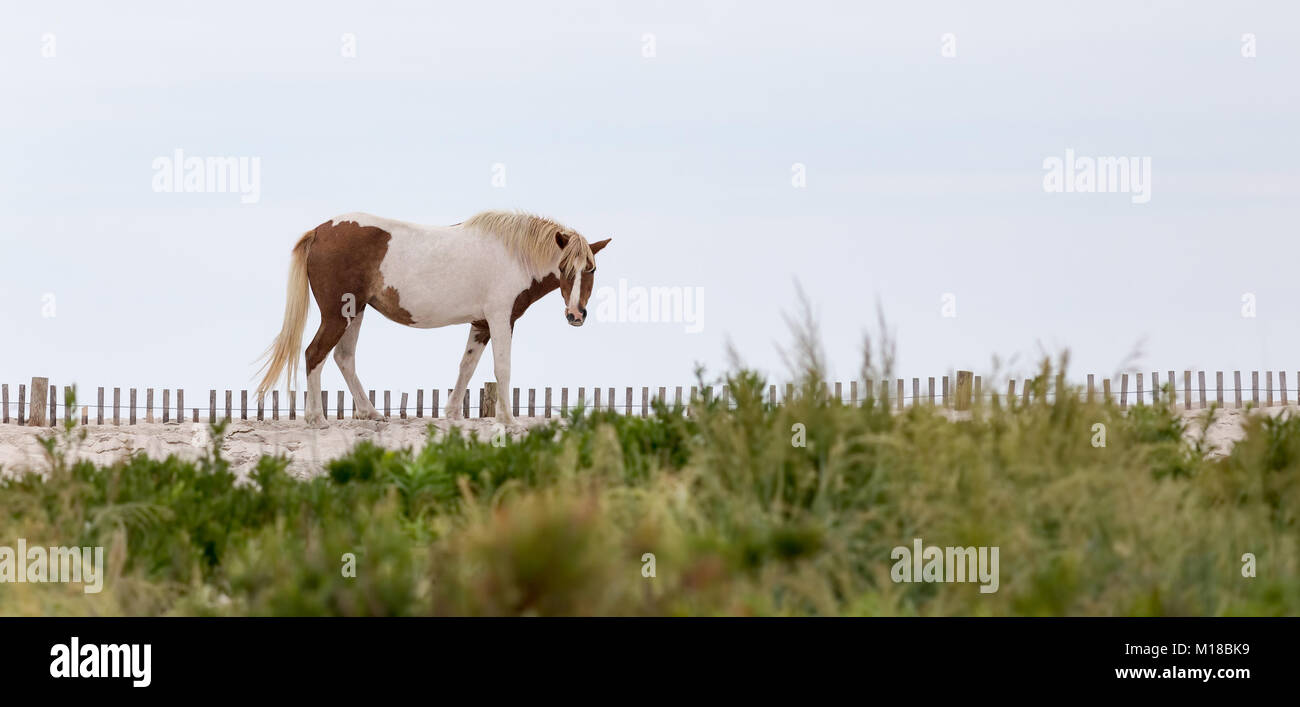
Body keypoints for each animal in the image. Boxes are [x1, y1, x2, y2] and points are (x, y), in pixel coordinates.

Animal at [255, 210, 611, 427]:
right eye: (564, 268)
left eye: (591, 269)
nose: (575, 315)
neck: (514, 255)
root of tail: (320, 230)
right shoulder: (500, 319)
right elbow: (502, 368)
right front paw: (507, 420)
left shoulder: (480, 324)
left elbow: (467, 366)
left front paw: (452, 414)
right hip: (337, 315)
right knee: (315, 354)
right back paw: (317, 418)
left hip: (354, 312)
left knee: (344, 358)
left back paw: (370, 413)